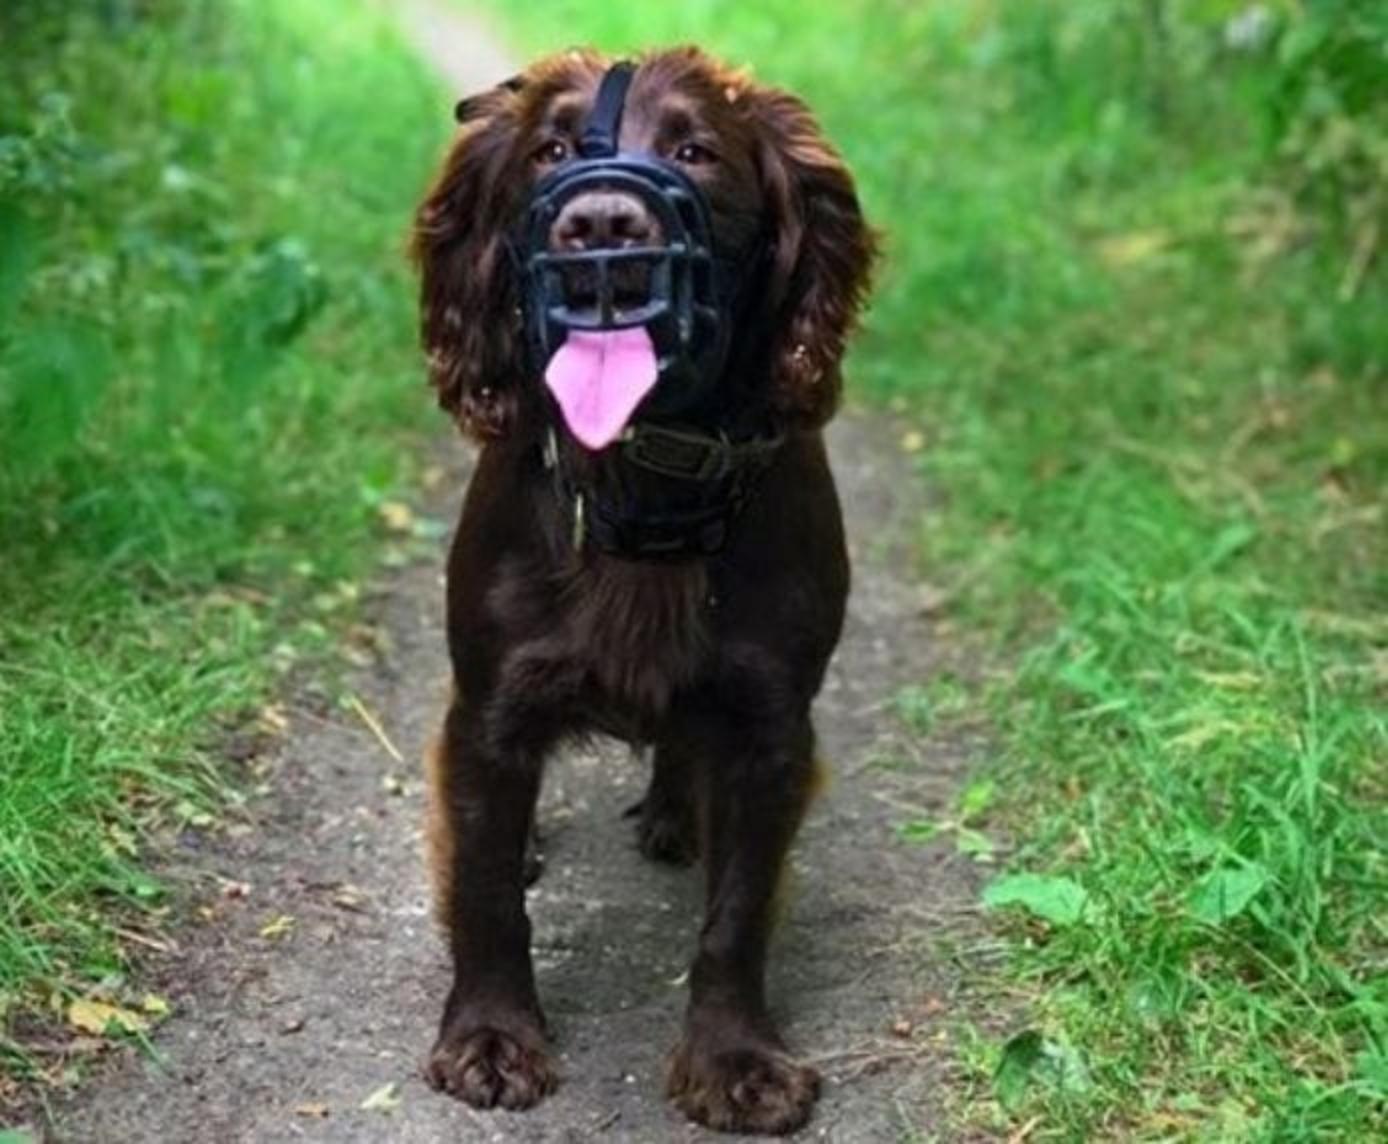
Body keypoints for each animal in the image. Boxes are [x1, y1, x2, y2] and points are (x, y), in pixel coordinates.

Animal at [405, 46, 871, 1132]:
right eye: (549, 152)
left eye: (696, 152)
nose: (602, 227)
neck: (644, 485)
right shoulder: (489, 708)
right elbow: (487, 896)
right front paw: (490, 1037)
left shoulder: (770, 728)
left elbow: (736, 916)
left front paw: (733, 1058)